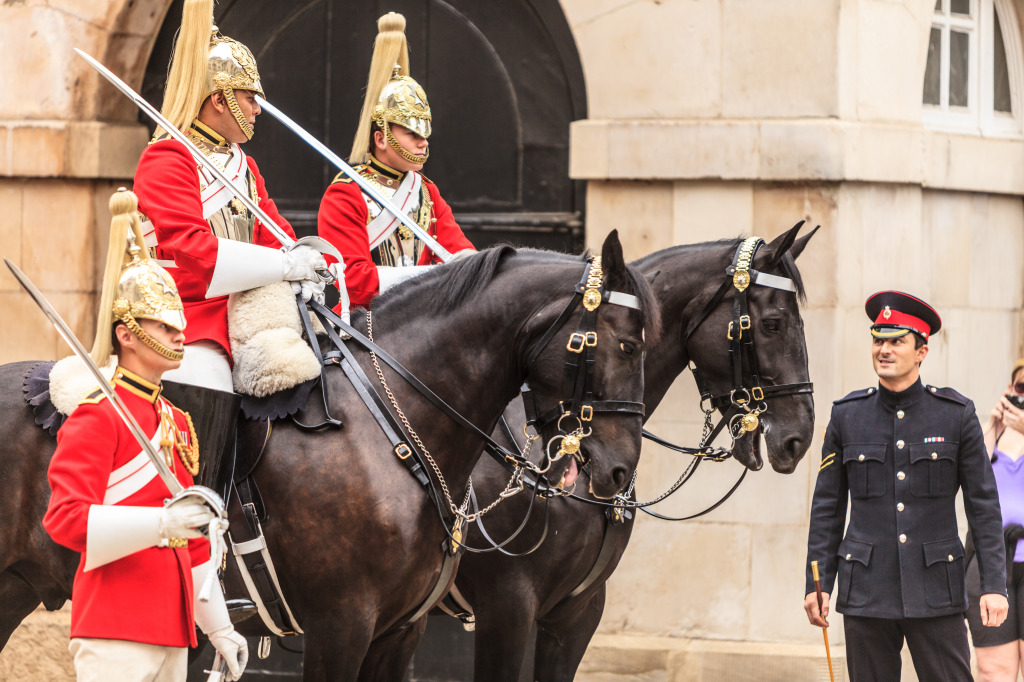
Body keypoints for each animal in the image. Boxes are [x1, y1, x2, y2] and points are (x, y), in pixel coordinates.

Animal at [0, 231, 655, 675]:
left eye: (645, 344)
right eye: (624, 344)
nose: (618, 470)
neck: (392, 424)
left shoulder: (402, 630)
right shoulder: (347, 622)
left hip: (16, 587)